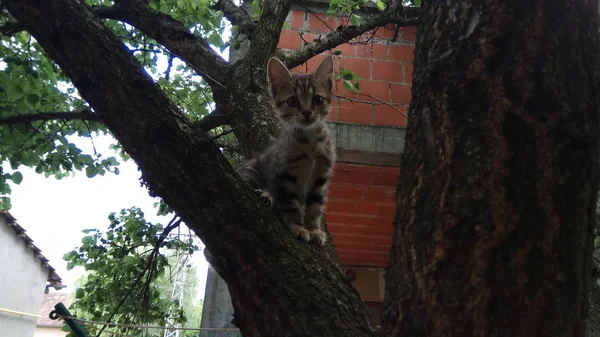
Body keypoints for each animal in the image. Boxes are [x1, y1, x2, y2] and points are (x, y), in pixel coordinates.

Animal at [236, 54, 338, 244]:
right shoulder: (284, 175)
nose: (306, 112)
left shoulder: (321, 177)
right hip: (251, 170)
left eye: (317, 99)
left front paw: (314, 229)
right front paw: (299, 228)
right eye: (292, 101)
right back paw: (265, 195)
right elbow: (291, 205)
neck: (311, 142)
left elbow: (315, 207)